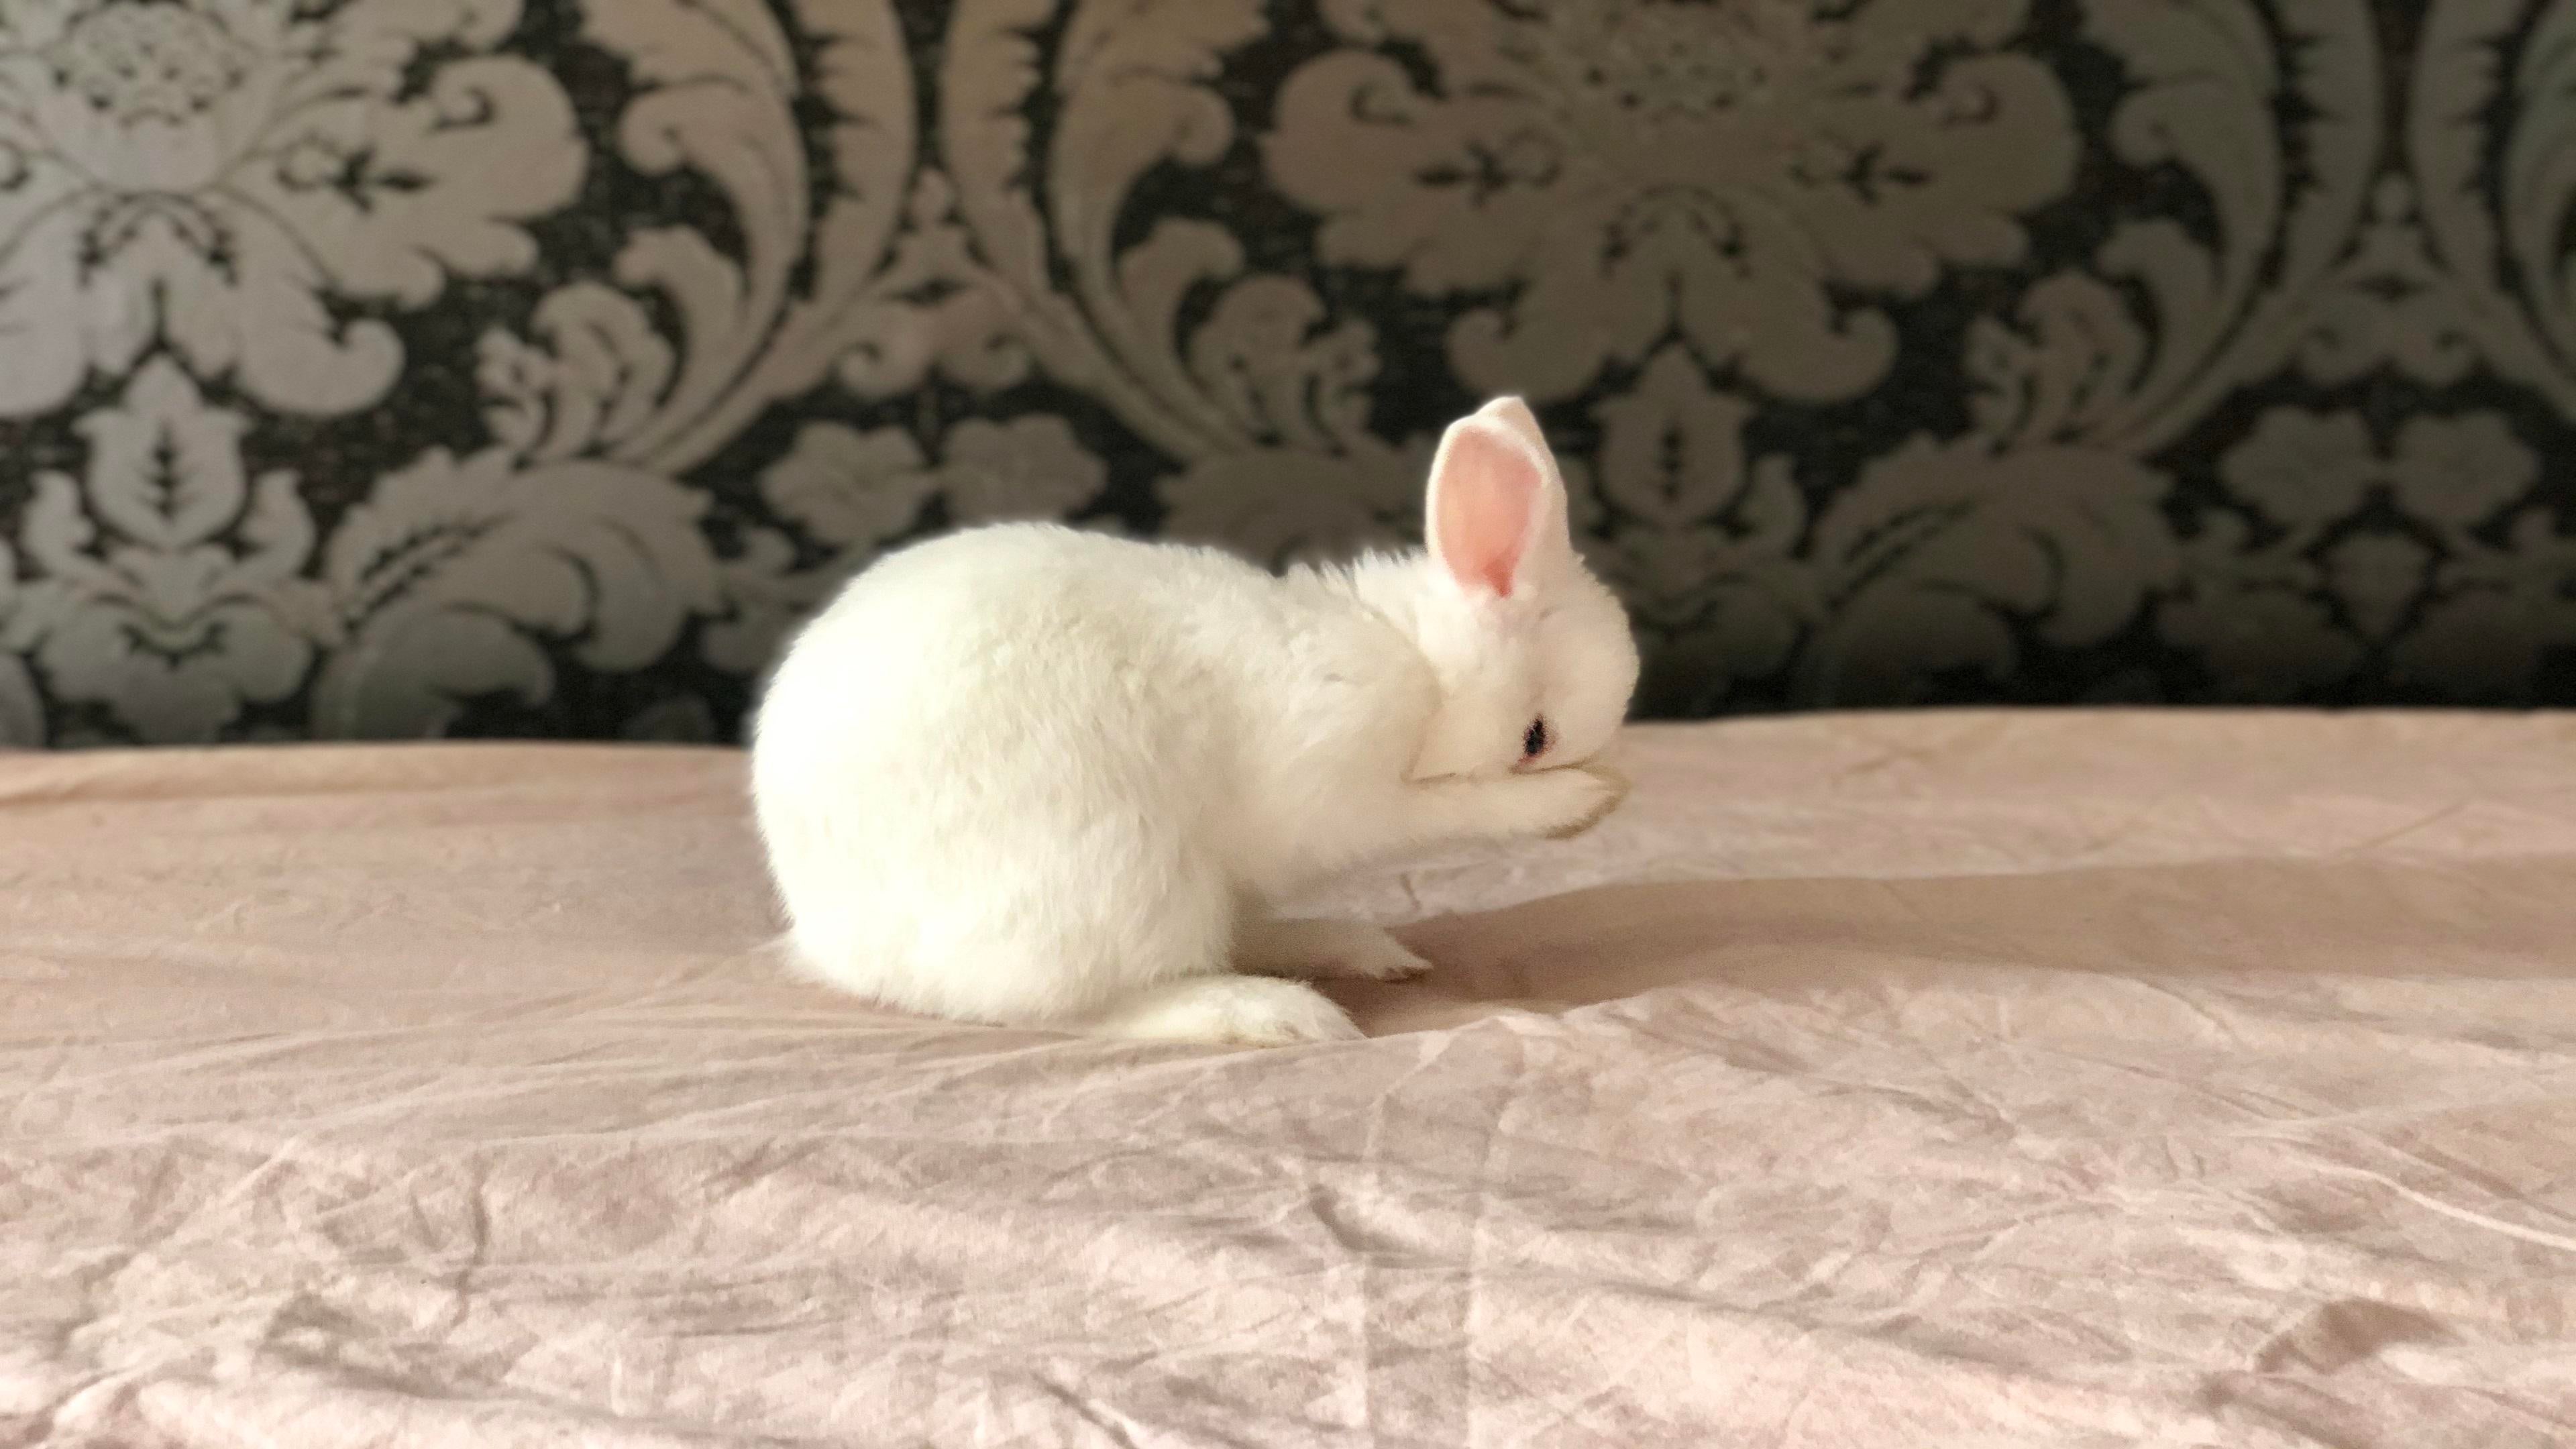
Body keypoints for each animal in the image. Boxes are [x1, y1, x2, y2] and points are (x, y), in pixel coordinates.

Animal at [749, 396, 1640, 1046]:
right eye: (1535, 739)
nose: (1612, 790)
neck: (1416, 659)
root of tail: (836, 948)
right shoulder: (1342, 788)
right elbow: (1447, 809)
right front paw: (1577, 800)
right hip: (1114, 876)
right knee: (1077, 1003)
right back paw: (1274, 1014)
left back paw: (1353, 948)